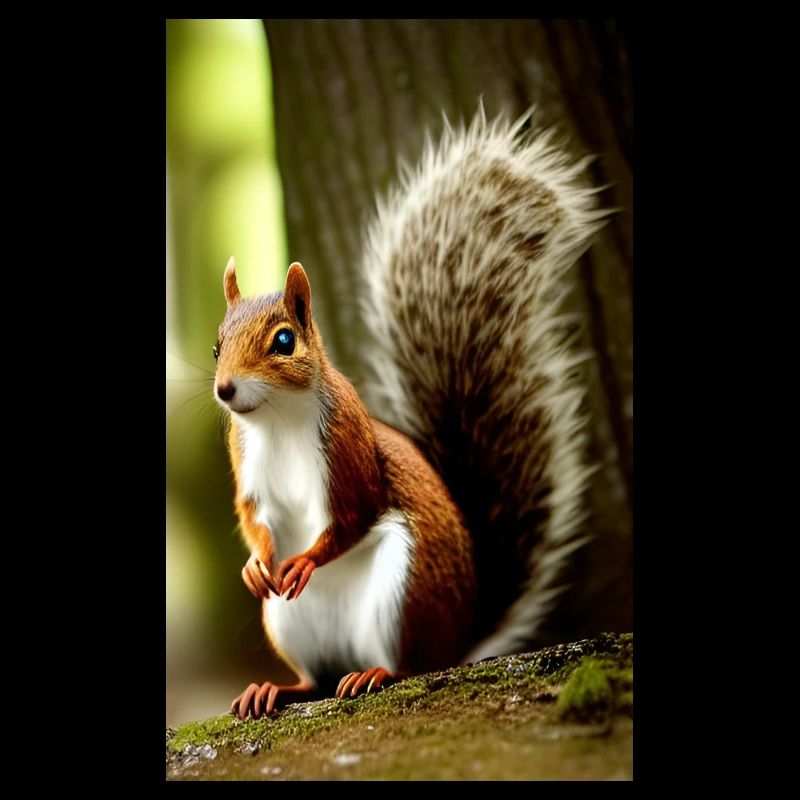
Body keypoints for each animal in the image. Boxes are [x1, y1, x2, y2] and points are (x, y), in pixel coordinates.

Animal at [213, 109, 608, 719]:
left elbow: (354, 514)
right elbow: (251, 512)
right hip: (289, 619)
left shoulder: (346, 448)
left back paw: (373, 673)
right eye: (216, 346)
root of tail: (458, 638)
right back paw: (275, 688)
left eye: (284, 340)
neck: (276, 420)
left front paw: (305, 561)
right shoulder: (246, 457)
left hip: (406, 590)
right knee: (313, 680)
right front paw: (256, 565)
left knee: (407, 666)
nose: (225, 389)